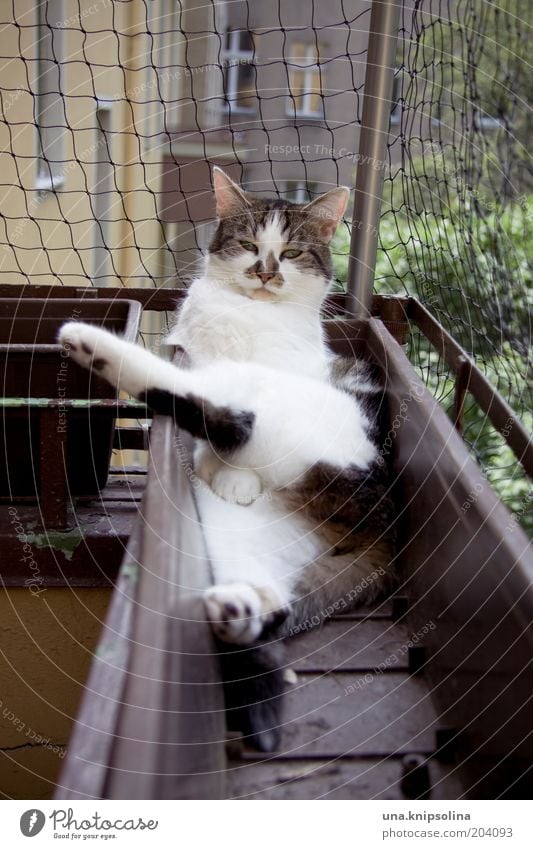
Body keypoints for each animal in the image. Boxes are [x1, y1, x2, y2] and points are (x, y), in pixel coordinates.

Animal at [58, 169, 392, 652]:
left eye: (291, 253)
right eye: (250, 245)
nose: (266, 272)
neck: (250, 314)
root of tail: (383, 516)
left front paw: (231, 475)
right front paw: (222, 471)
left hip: (265, 397)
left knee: (206, 404)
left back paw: (88, 341)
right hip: (248, 534)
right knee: (268, 596)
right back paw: (237, 608)